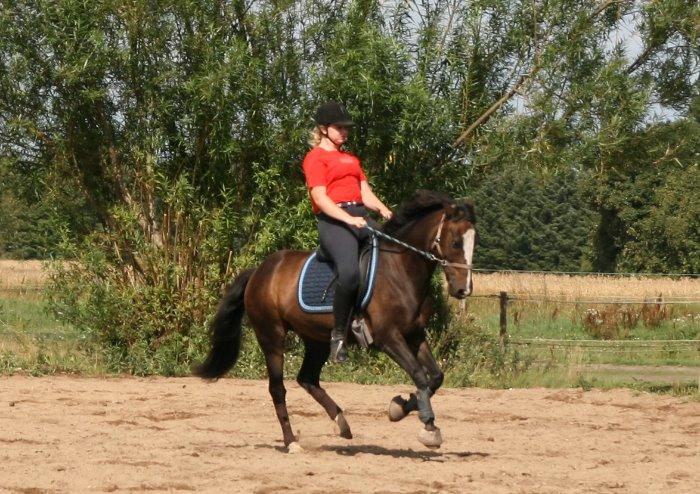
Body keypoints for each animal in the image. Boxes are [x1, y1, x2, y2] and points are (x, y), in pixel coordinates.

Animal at [194, 189, 476, 452]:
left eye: (474, 243)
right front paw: (428, 427)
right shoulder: (389, 338)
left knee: (307, 379)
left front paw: (399, 408)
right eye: (455, 242)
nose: (463, 290)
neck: (400, 269)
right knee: (278, 388)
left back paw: (341, 423)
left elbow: (436, 377)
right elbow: (420, 376)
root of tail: (259, 271)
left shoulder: (415, 334)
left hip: (316, 339)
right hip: (271, 337)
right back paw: (291, 441)